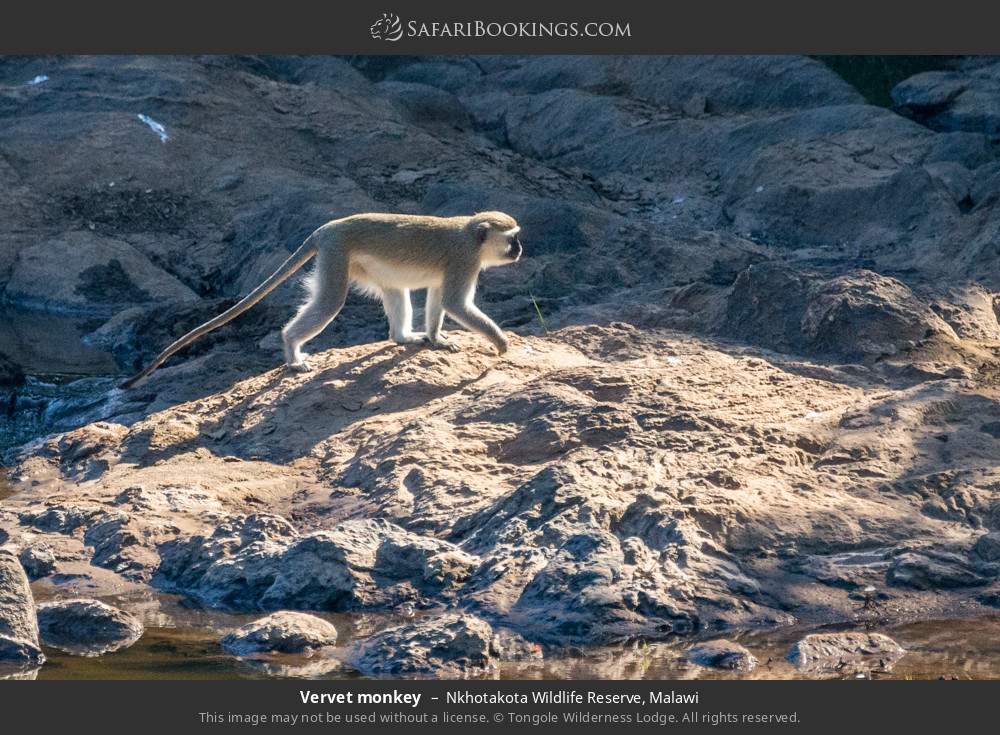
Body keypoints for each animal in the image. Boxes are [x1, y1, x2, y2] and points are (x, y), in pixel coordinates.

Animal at [121, 211, 523, 388]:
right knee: (330, 301)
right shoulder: (465, 260)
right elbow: (455, 303)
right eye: (512, 238)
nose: (521, 249)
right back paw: (291, 351)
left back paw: (402, 337)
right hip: (336, 256)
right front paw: (501, 343)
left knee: (395, 290)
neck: (472, 235)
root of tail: (327, 228)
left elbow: (440, 297)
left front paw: (436, 339)